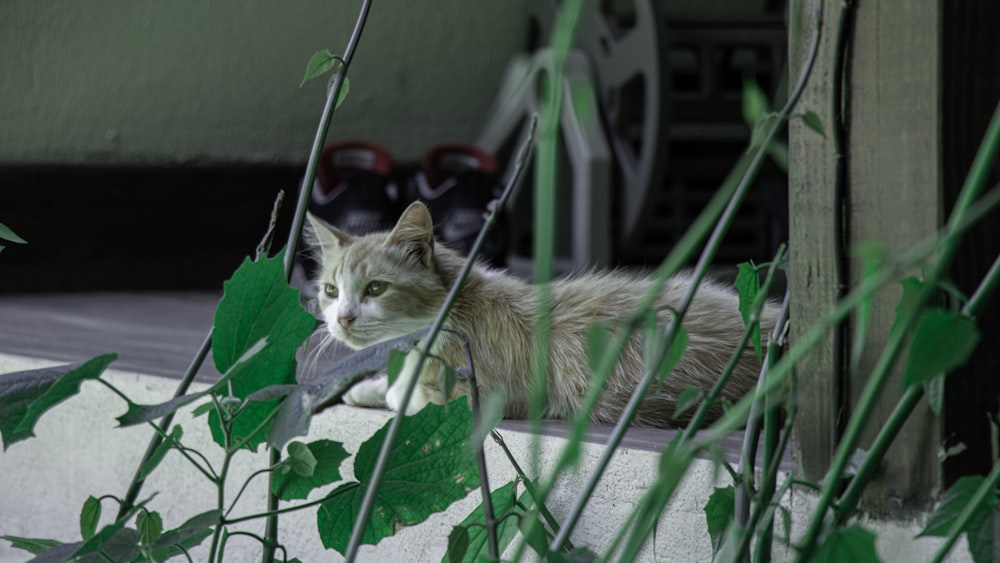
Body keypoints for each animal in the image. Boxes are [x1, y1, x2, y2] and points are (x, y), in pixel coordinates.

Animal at [306, 203, 780, 428]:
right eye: (330, 291)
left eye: (375, 289)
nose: (342, 319)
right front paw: (367, 386)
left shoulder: (482, 399)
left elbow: (407, 397)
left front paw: (386, 390)